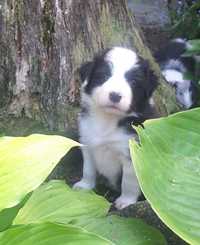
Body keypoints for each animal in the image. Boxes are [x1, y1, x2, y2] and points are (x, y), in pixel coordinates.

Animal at [73, 47, 158, 210]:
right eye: (104, 75)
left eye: (133, 81)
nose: (115, 95)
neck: (107, 120)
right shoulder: (87, 142)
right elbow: (88, 169)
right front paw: (85, 186)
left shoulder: (132, 153)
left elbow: (128, 182)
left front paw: (125, 201)